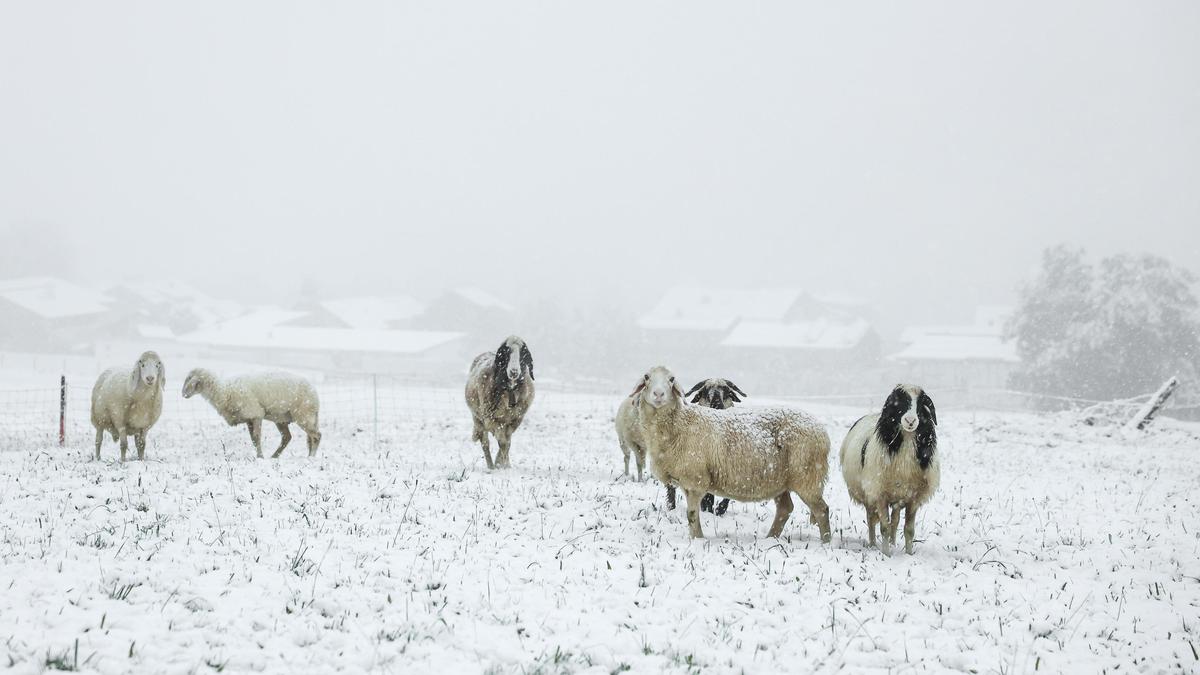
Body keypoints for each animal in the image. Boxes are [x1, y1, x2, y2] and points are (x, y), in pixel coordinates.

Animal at [463, 331, 535, 468]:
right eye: (506, 351)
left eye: (523, 352)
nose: (514, 371)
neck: (510, 389)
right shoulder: (492, 420)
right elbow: (503, 443)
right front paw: (501, 465)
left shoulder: (514, 420)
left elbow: (507, 442)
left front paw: (504, 463)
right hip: (478, 419)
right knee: (485, 443)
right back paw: (491, 466)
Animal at [633, 365, 830, 538]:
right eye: (647, 377)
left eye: (671, 379)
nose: (658, 394)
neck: (680, 422)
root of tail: (821, 430)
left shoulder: (696, 480)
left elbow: (692, 514)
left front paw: (697, 539)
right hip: (780, 480)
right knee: (785, 509)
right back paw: (770, 538)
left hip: (807, 476)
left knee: (822, 510)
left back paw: (825, 542)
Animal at [840, 384, 940, 552]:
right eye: (899, 403)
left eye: (921, 404)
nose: (910, 420)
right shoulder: (880, 495)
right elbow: (884, 528)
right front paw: (886, 554)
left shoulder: (913, 497)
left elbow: (909, 530)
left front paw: (908, 554)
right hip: (868, 494)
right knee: (871, 519)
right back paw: (873, 544)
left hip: (898, 495)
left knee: (895, 519)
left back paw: (893, 543)